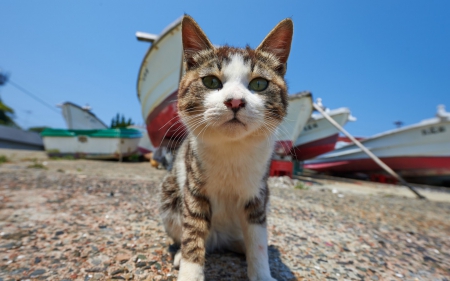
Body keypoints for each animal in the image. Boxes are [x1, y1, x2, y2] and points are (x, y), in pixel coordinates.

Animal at [160, 15, 294, 280]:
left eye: (259, 84)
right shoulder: (194, 188)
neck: (232, 148)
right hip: (170, 194)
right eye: (211, 81)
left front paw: (261, 272)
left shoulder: (257, 194)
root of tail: (218, 241)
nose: (235, 101)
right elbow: (193, 234)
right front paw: (190, 271)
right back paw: (180, 253)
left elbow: (257, 239)